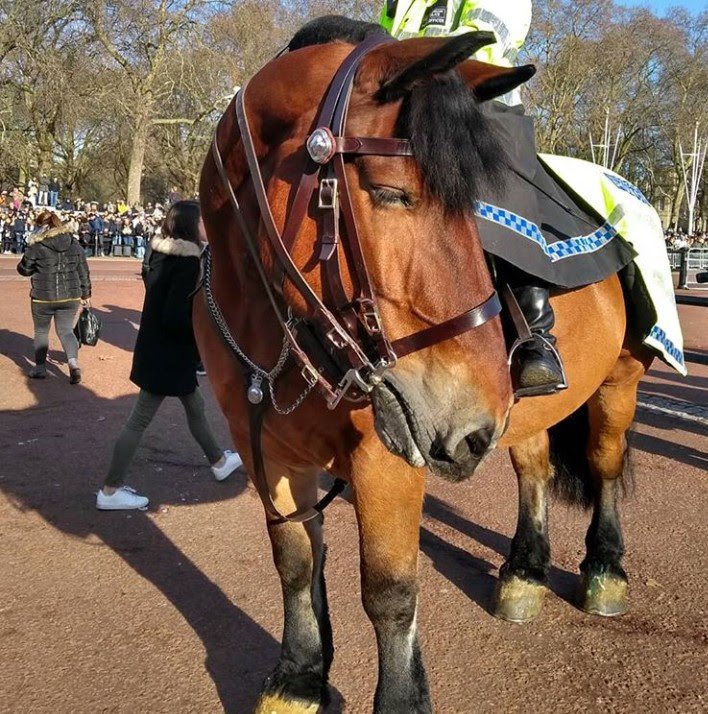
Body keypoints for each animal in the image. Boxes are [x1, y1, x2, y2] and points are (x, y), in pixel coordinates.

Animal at [194, 20, 654, 714]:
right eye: (391, 193)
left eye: (475, 207)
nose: (469, 427)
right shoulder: (265, 448)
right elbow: (296, 560)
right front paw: (299, 678)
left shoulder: (388, 456)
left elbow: (389, 592)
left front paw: (401, 697)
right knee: (535, 466)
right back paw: (525, 570)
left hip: (617, 381)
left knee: (603, 464)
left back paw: (604, 568)